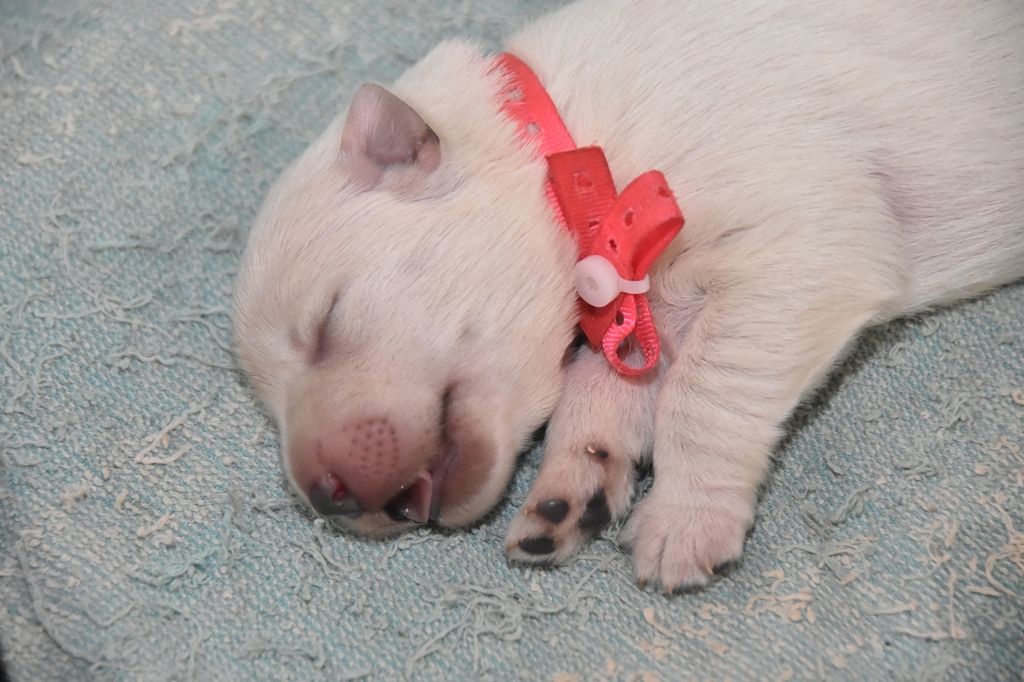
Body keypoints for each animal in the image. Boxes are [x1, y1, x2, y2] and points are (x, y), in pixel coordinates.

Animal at [233, 0, 1024, 591]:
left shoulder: (808, 237)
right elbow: (605, 382)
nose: (323, 497)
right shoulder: (646, 306)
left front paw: (683, 518)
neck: (575, 150)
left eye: (325, 322)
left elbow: (705, 392)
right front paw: (570, 491)